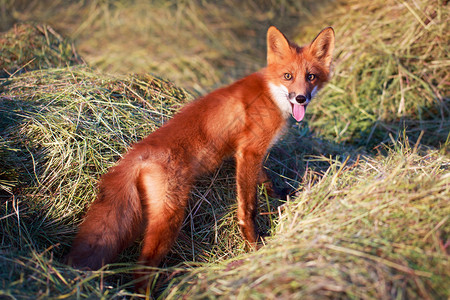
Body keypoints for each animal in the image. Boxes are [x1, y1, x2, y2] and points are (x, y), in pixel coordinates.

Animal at [67, 26, 334, 290]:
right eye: (288, 76)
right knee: (141, 269)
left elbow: (265, 177)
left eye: (311, 77)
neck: (270, 93)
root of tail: (137, 152)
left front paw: (279, 194)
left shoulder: (244, 152)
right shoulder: (250, 151)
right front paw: (255, 246)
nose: (301, 98)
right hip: (170, 217)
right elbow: (248, 208)